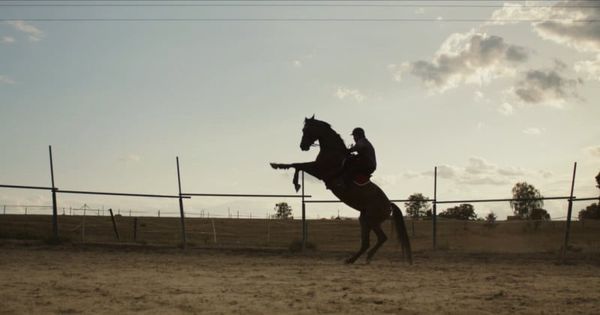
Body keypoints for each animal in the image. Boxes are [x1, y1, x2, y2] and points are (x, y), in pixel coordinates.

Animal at [272, 116, 412, 264]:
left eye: (306, 130)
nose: (302, 146)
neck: (333, 151)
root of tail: (389, 204)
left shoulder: (319, 170)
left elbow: (297, 165)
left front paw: (286, 174)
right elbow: (297, 165)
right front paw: (292, 179)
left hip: (372, 220)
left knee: (381, 238)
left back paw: (367, 257)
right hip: (364, 219)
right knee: (366, 242)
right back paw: (352, 259)